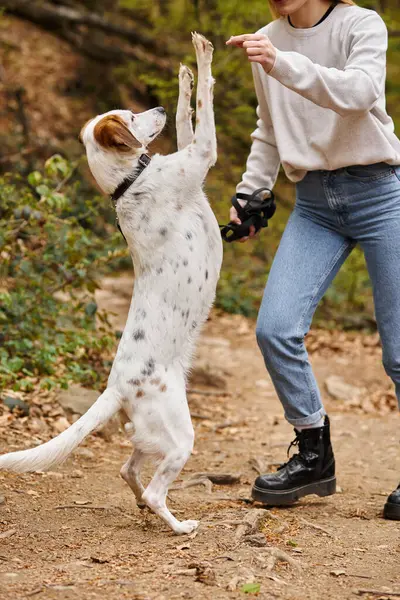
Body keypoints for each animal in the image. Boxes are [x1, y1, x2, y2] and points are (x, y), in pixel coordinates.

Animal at [0, 32, 222, 536]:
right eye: (132, 117)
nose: (153, 105)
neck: (129, 182)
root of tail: (117, 387)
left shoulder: (189, 150)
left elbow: (186, 115)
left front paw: (182, 77)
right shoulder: (202, 154)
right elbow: (204, 109)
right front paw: (201, 59)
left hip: (150, 433)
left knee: (127, 469)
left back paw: (141, 503)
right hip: (180, 435)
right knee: (156, 489)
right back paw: (178, 526)